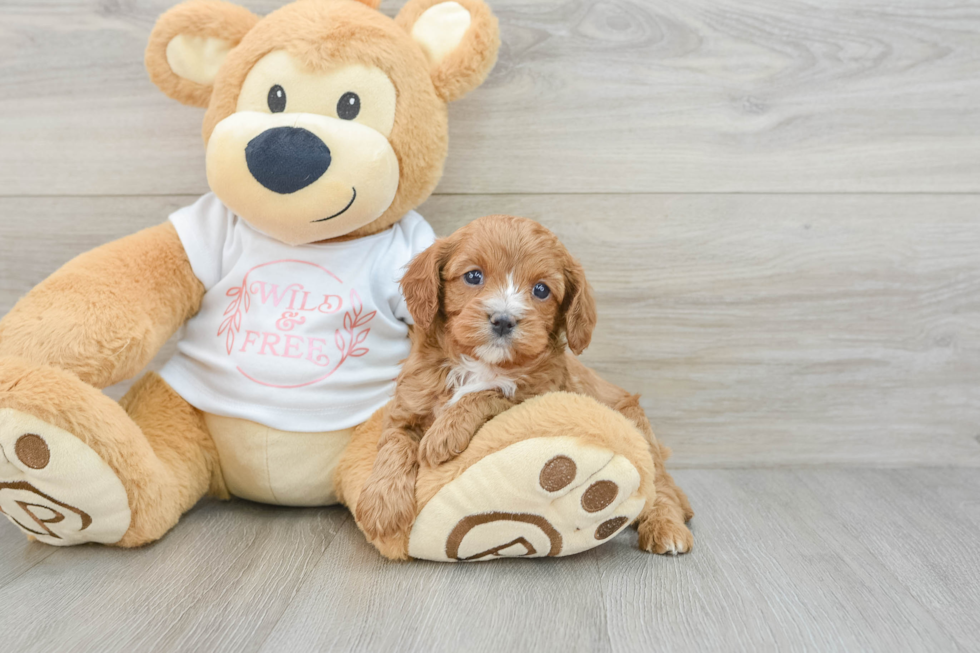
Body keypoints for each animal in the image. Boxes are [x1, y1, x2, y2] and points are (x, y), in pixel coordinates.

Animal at [356, 216, 692, 552]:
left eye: (541, 290)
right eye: (473, 276)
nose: (504, 320)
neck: (479, 364)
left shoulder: (540, 394)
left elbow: (491, 394)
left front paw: (444, 433)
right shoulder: (407, 405)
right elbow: (395, 443)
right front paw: (382, 507)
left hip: (638, 430)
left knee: (660, 488)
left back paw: (667, 527)